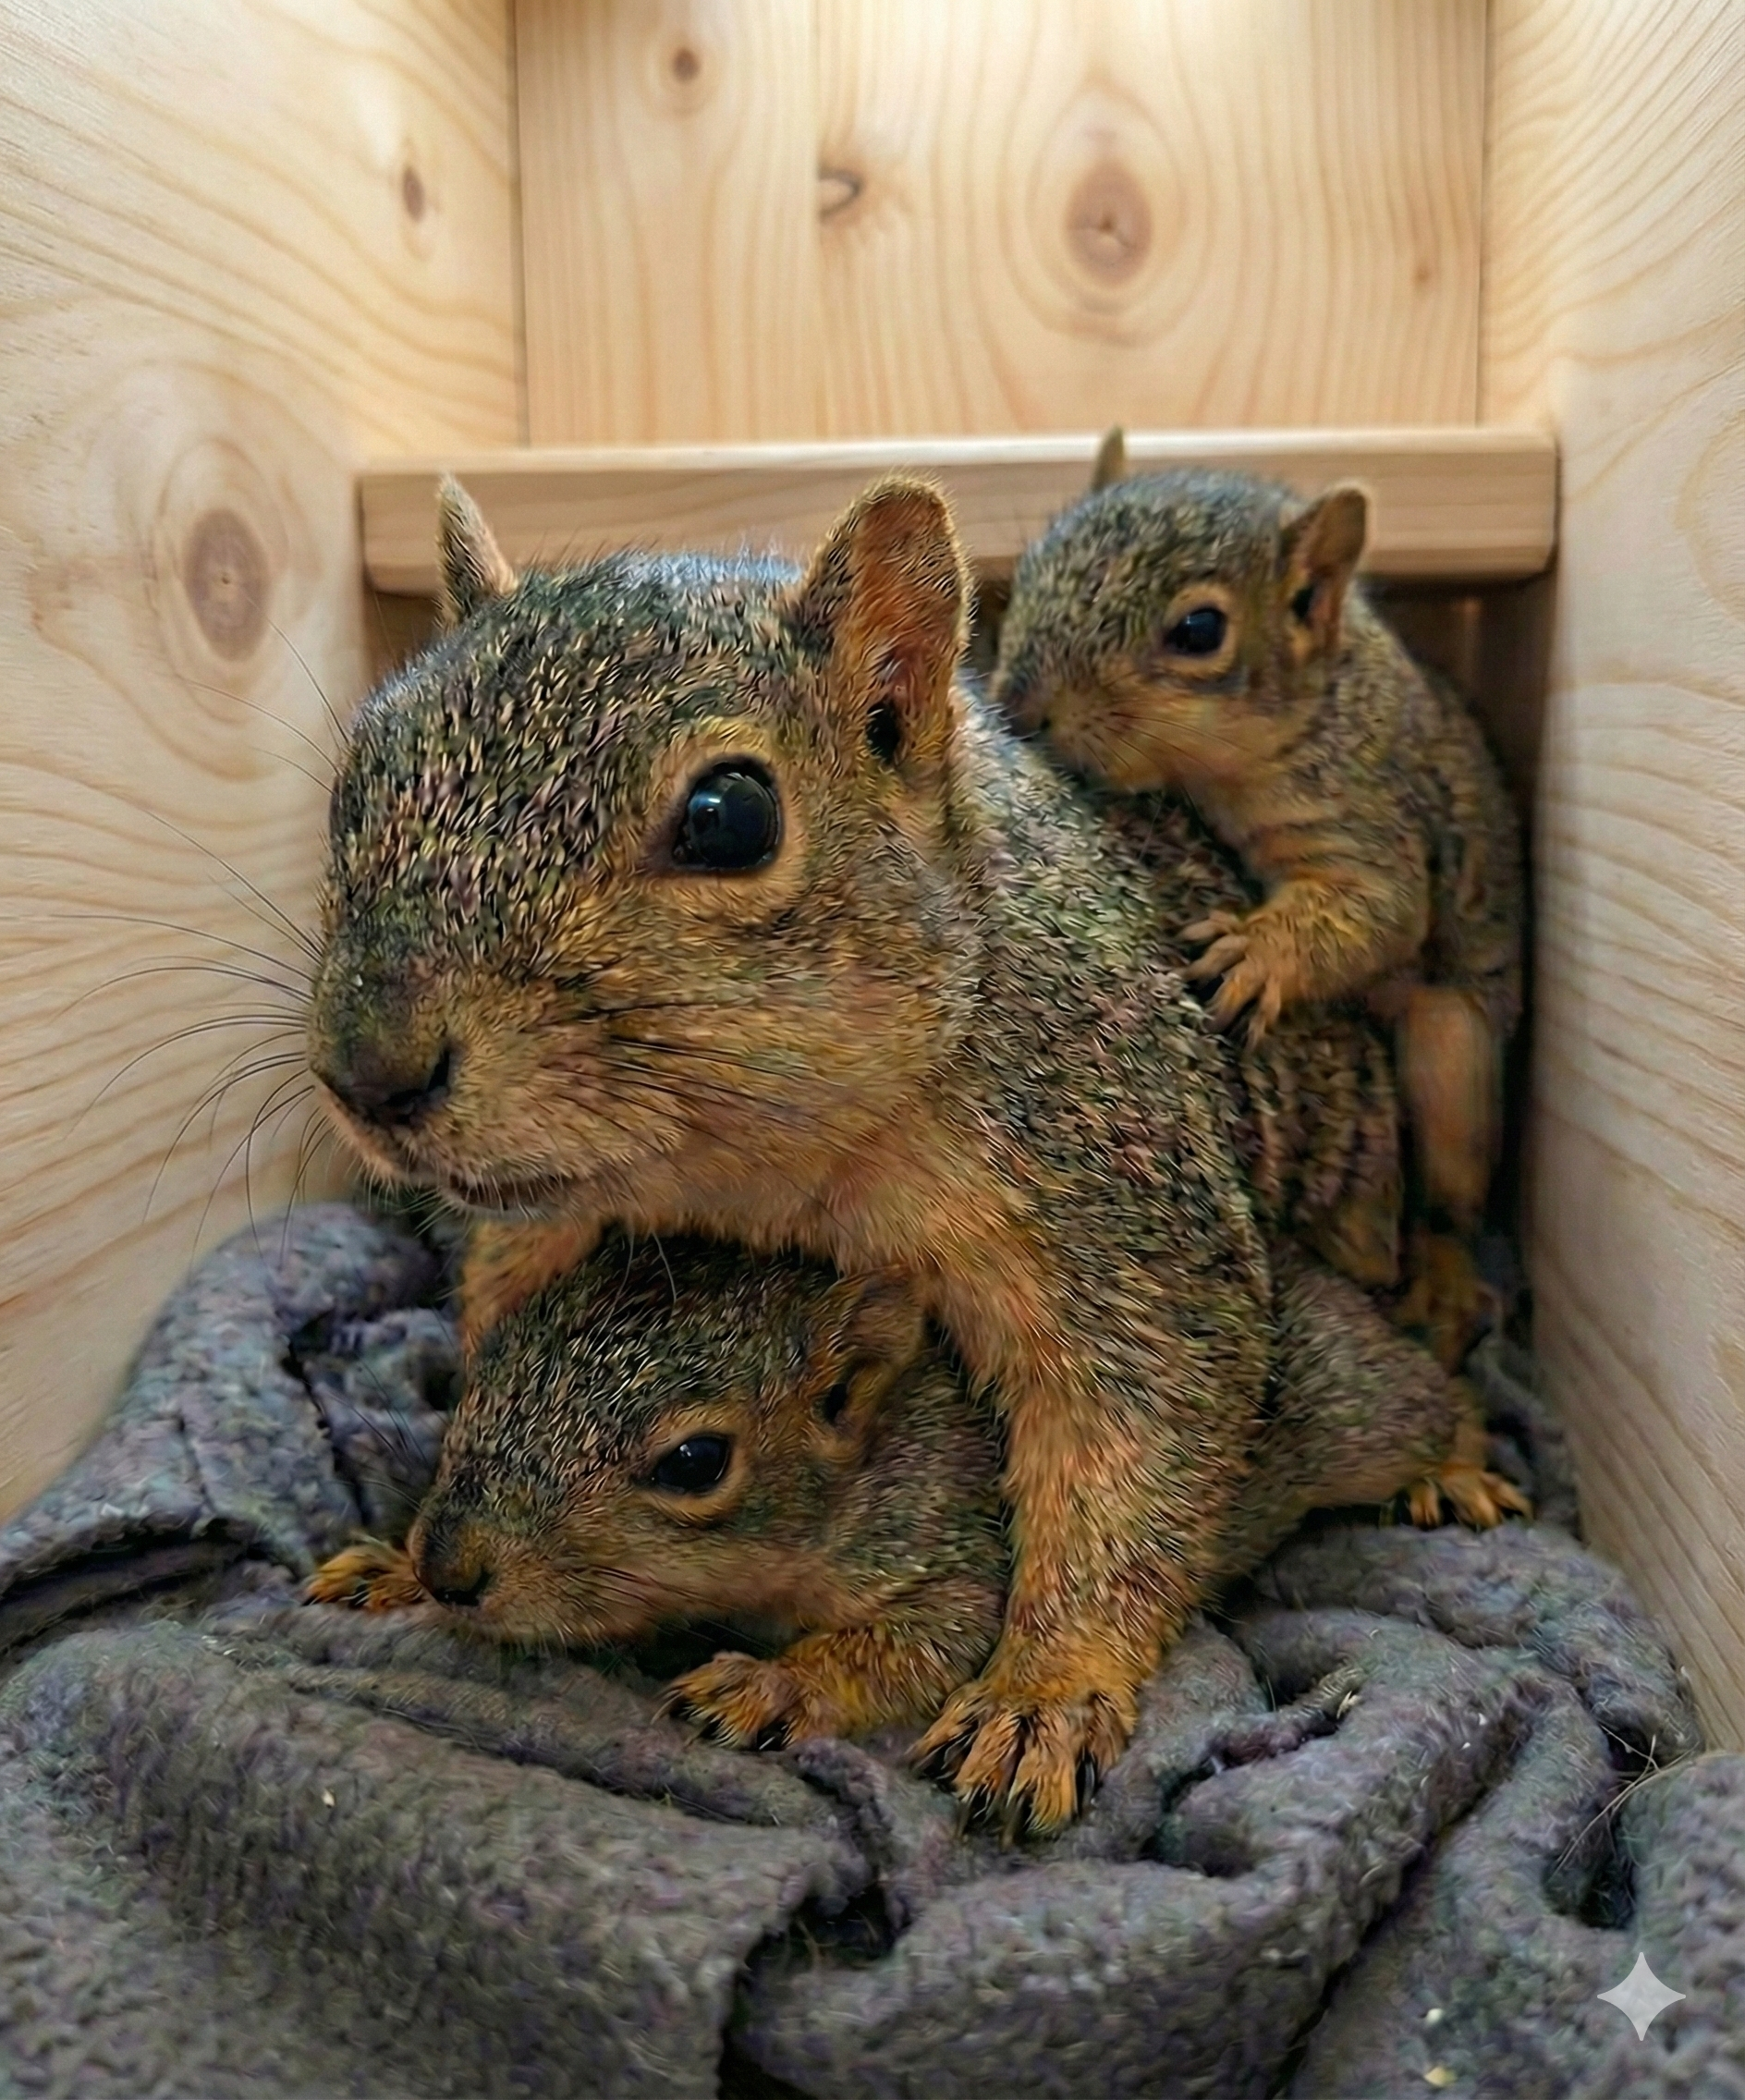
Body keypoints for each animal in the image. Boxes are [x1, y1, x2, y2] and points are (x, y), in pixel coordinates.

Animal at [307, 1232, 1509, 1755]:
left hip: (1351, 1406)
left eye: (693, 1463)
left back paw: (1459, 1468)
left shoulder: (952, 1545)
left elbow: (920, 1643)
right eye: (484, 1367)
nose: (452, 1567)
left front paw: (770, 1685)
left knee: (1423, 1397)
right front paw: (385, 1568)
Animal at [990, 437, 1524, 1367]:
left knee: (1450, 1197)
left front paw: (1254, 954)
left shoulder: (1365, 815)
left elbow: (1381, 912)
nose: (1018, 704)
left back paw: (1445, 1281)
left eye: (1199, 631)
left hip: (1450, 1051)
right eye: (1028, 573)